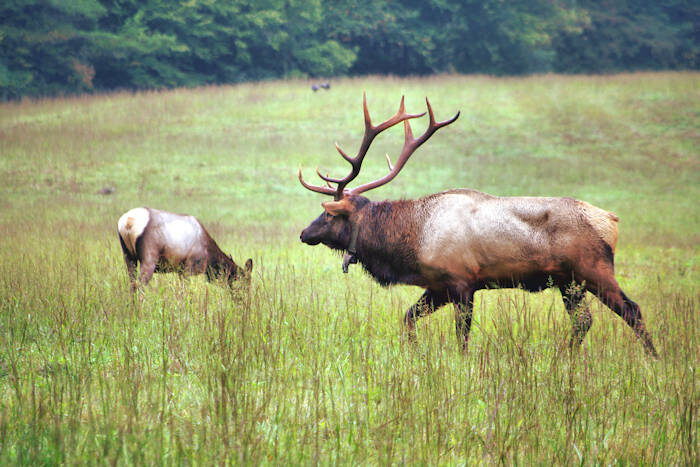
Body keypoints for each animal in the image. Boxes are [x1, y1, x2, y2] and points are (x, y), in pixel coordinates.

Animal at [118, 207, 253, 290]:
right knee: (140, 285)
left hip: (128, 256)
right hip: (149, 258)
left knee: (132, 283)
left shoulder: (180, 270)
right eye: (246, 283)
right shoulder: (188, 267)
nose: (243, 301)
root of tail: (128, 222)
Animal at [298, 94, 657, 357]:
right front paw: (413, 352)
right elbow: (408, 319)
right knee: (584, 321)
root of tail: (611, 220)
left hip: (594, 270)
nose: (303, 233)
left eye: (328, 215)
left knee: (633, 311)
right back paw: (565, 357)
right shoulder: (437, 286)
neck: (412, 241)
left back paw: (653, 359)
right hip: (568, 282)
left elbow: (462, 337)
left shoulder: (462, 283)